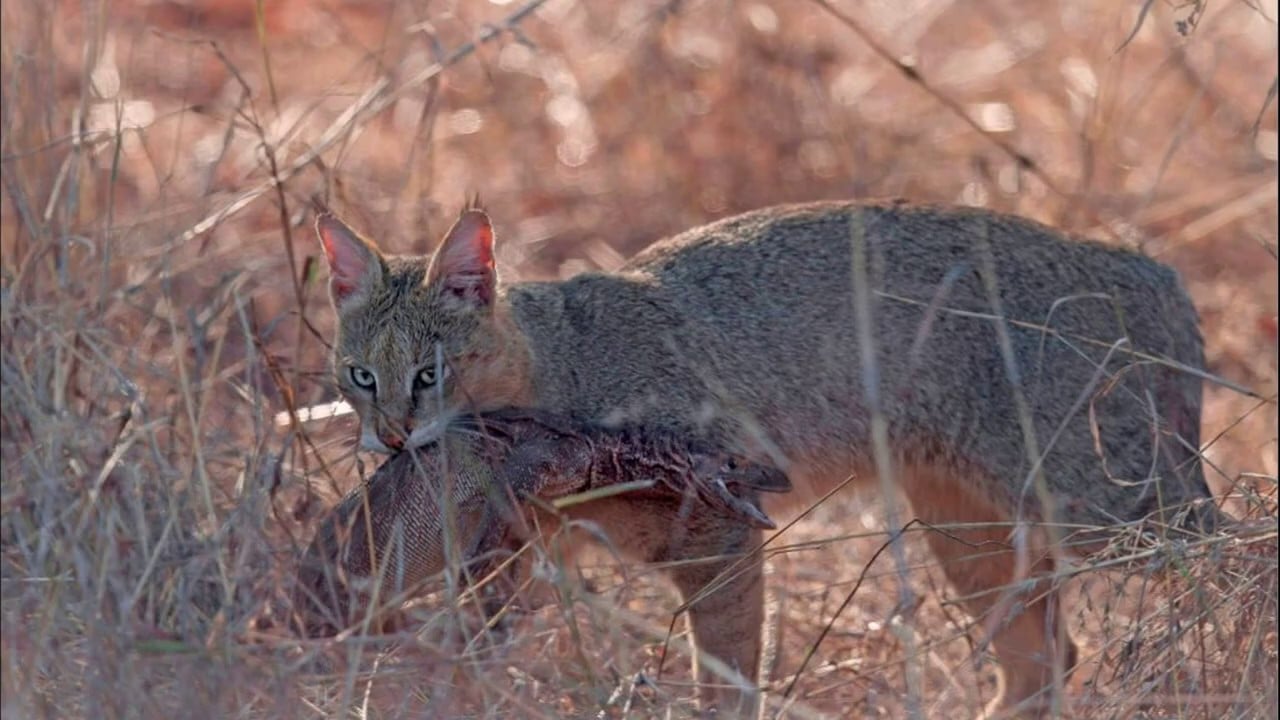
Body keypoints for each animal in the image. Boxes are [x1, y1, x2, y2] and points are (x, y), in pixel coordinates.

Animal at [314, 198, 1213, 712]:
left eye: (428, 373)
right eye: (360, 376)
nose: (390, 436)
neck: (560, 366)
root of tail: (1154, 268)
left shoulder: (721, 537)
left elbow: (728, 680)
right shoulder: (514, 564)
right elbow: (465, 661)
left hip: (1112, 511)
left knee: (1224, 563)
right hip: (974, 535)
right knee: (1046, 661)